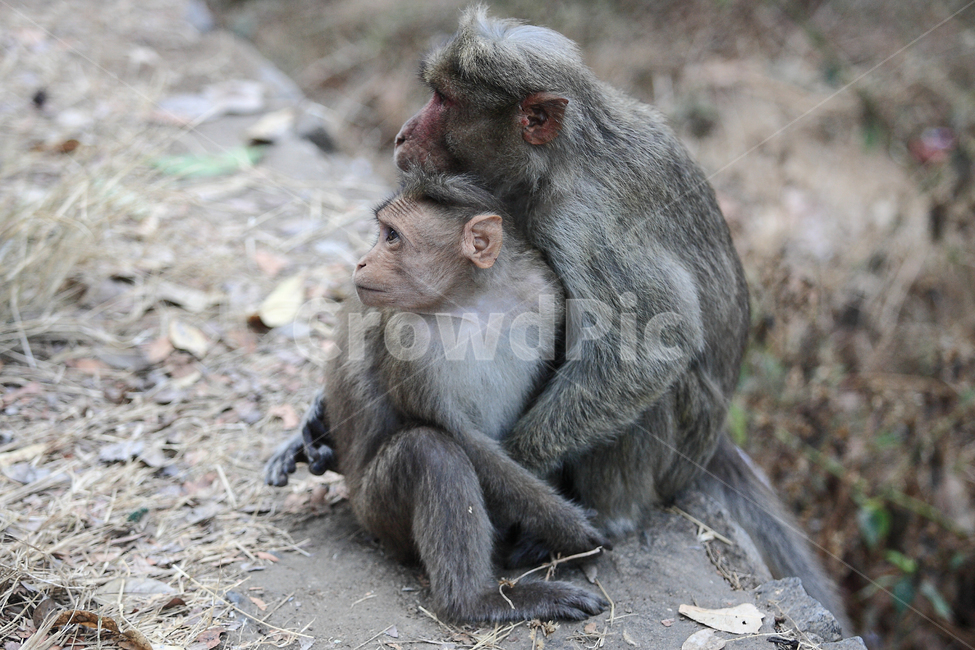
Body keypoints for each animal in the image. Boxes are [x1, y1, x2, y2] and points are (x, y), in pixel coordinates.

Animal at [266, 171, 608, 624]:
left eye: (392, 236)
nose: (361, 262)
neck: (471, 301)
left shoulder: (545, 293)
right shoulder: (406, 338)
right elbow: (459, 436)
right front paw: (568, 527)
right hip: (374, 512)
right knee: (430, 452)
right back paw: (478, 601)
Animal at [383, 8, 849, 627]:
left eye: (444, 101)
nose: (402, 133)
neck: (552, 161)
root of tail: (709, 451)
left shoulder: (587, 221)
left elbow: (652, 343)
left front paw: (521, 479)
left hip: (673, 457)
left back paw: (609, 518)